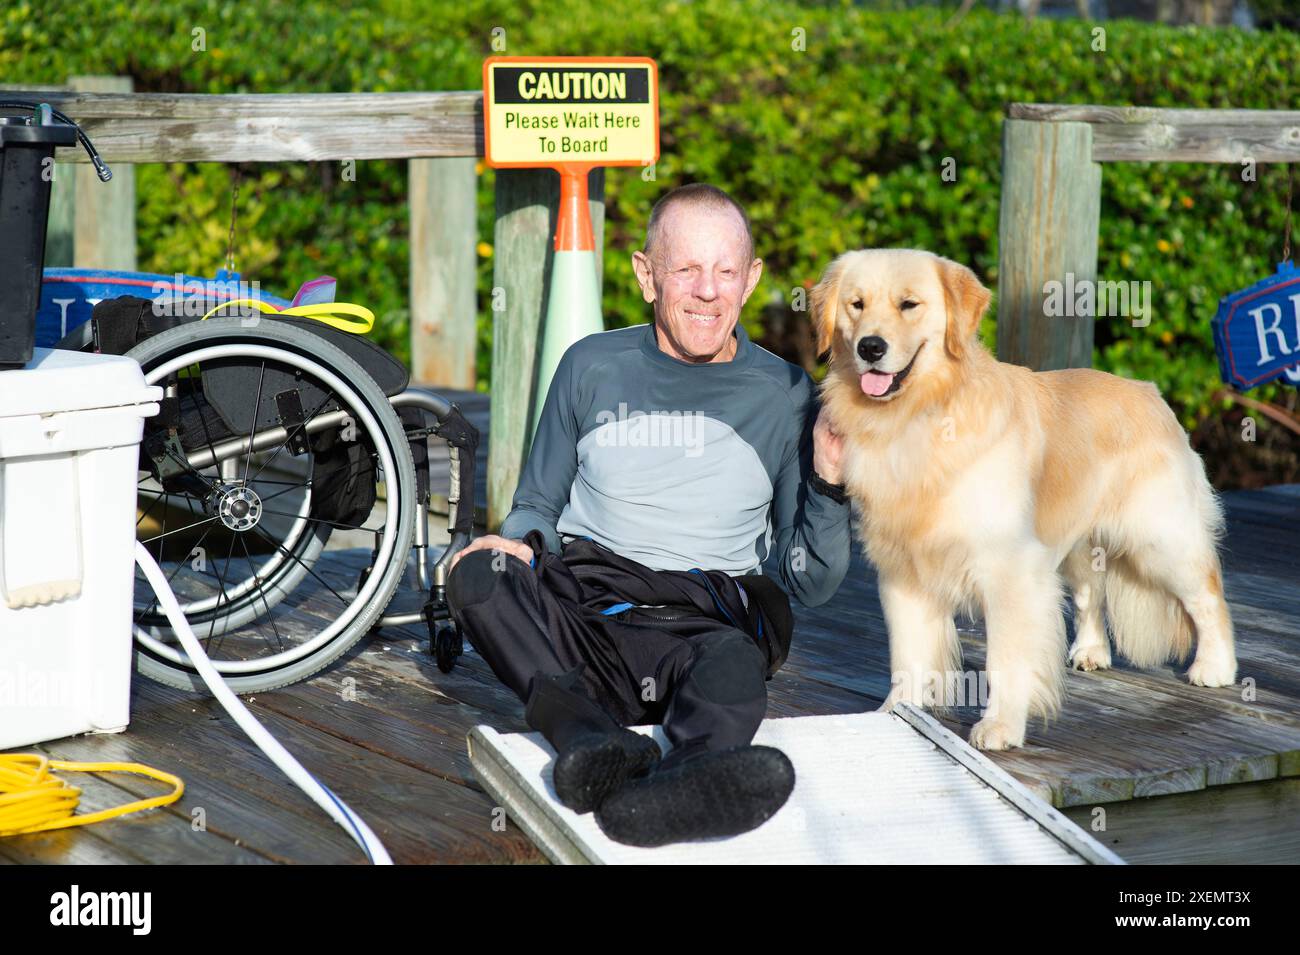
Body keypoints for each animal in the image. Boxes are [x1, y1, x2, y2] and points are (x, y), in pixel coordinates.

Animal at [811, 250, 1237, 748]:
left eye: (909, 304)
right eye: (856, 305)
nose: (870, 348)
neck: (918, 417)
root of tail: (1151, 393)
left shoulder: (1009, 570)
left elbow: (1006, 658)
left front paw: (1001, 725)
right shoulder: (903, 571)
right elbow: (909, 655)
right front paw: (897, 712)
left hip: (1159, 539)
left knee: (1208, 594)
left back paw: (1215, 667)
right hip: (1076, 541)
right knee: (1092, 593)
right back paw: (1091, 650)